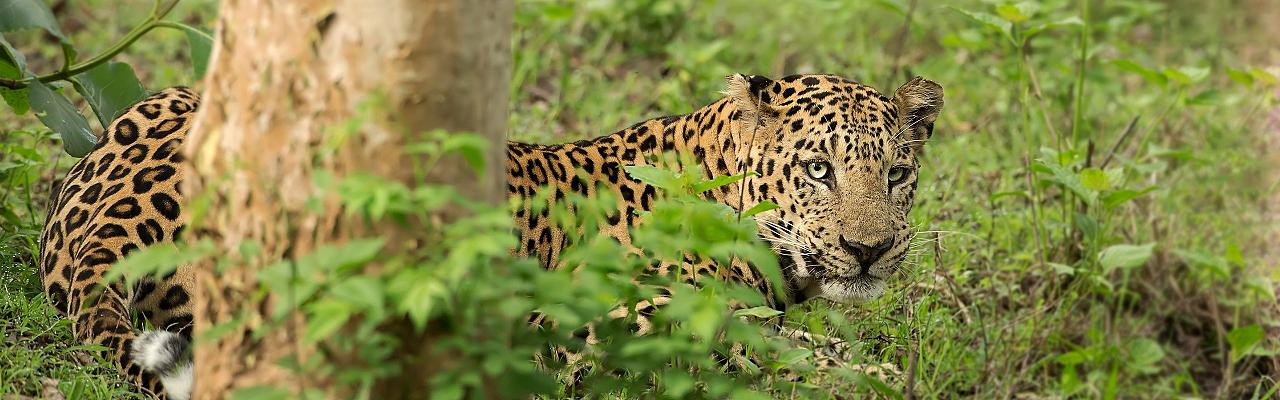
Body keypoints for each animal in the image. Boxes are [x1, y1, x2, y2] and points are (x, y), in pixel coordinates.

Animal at [37, 72, 942, 400]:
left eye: (898, 173)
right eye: (819, 170)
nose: (869, 251)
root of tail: (93, 222)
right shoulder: (604, 331)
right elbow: (807, 359)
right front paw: (889, 377)